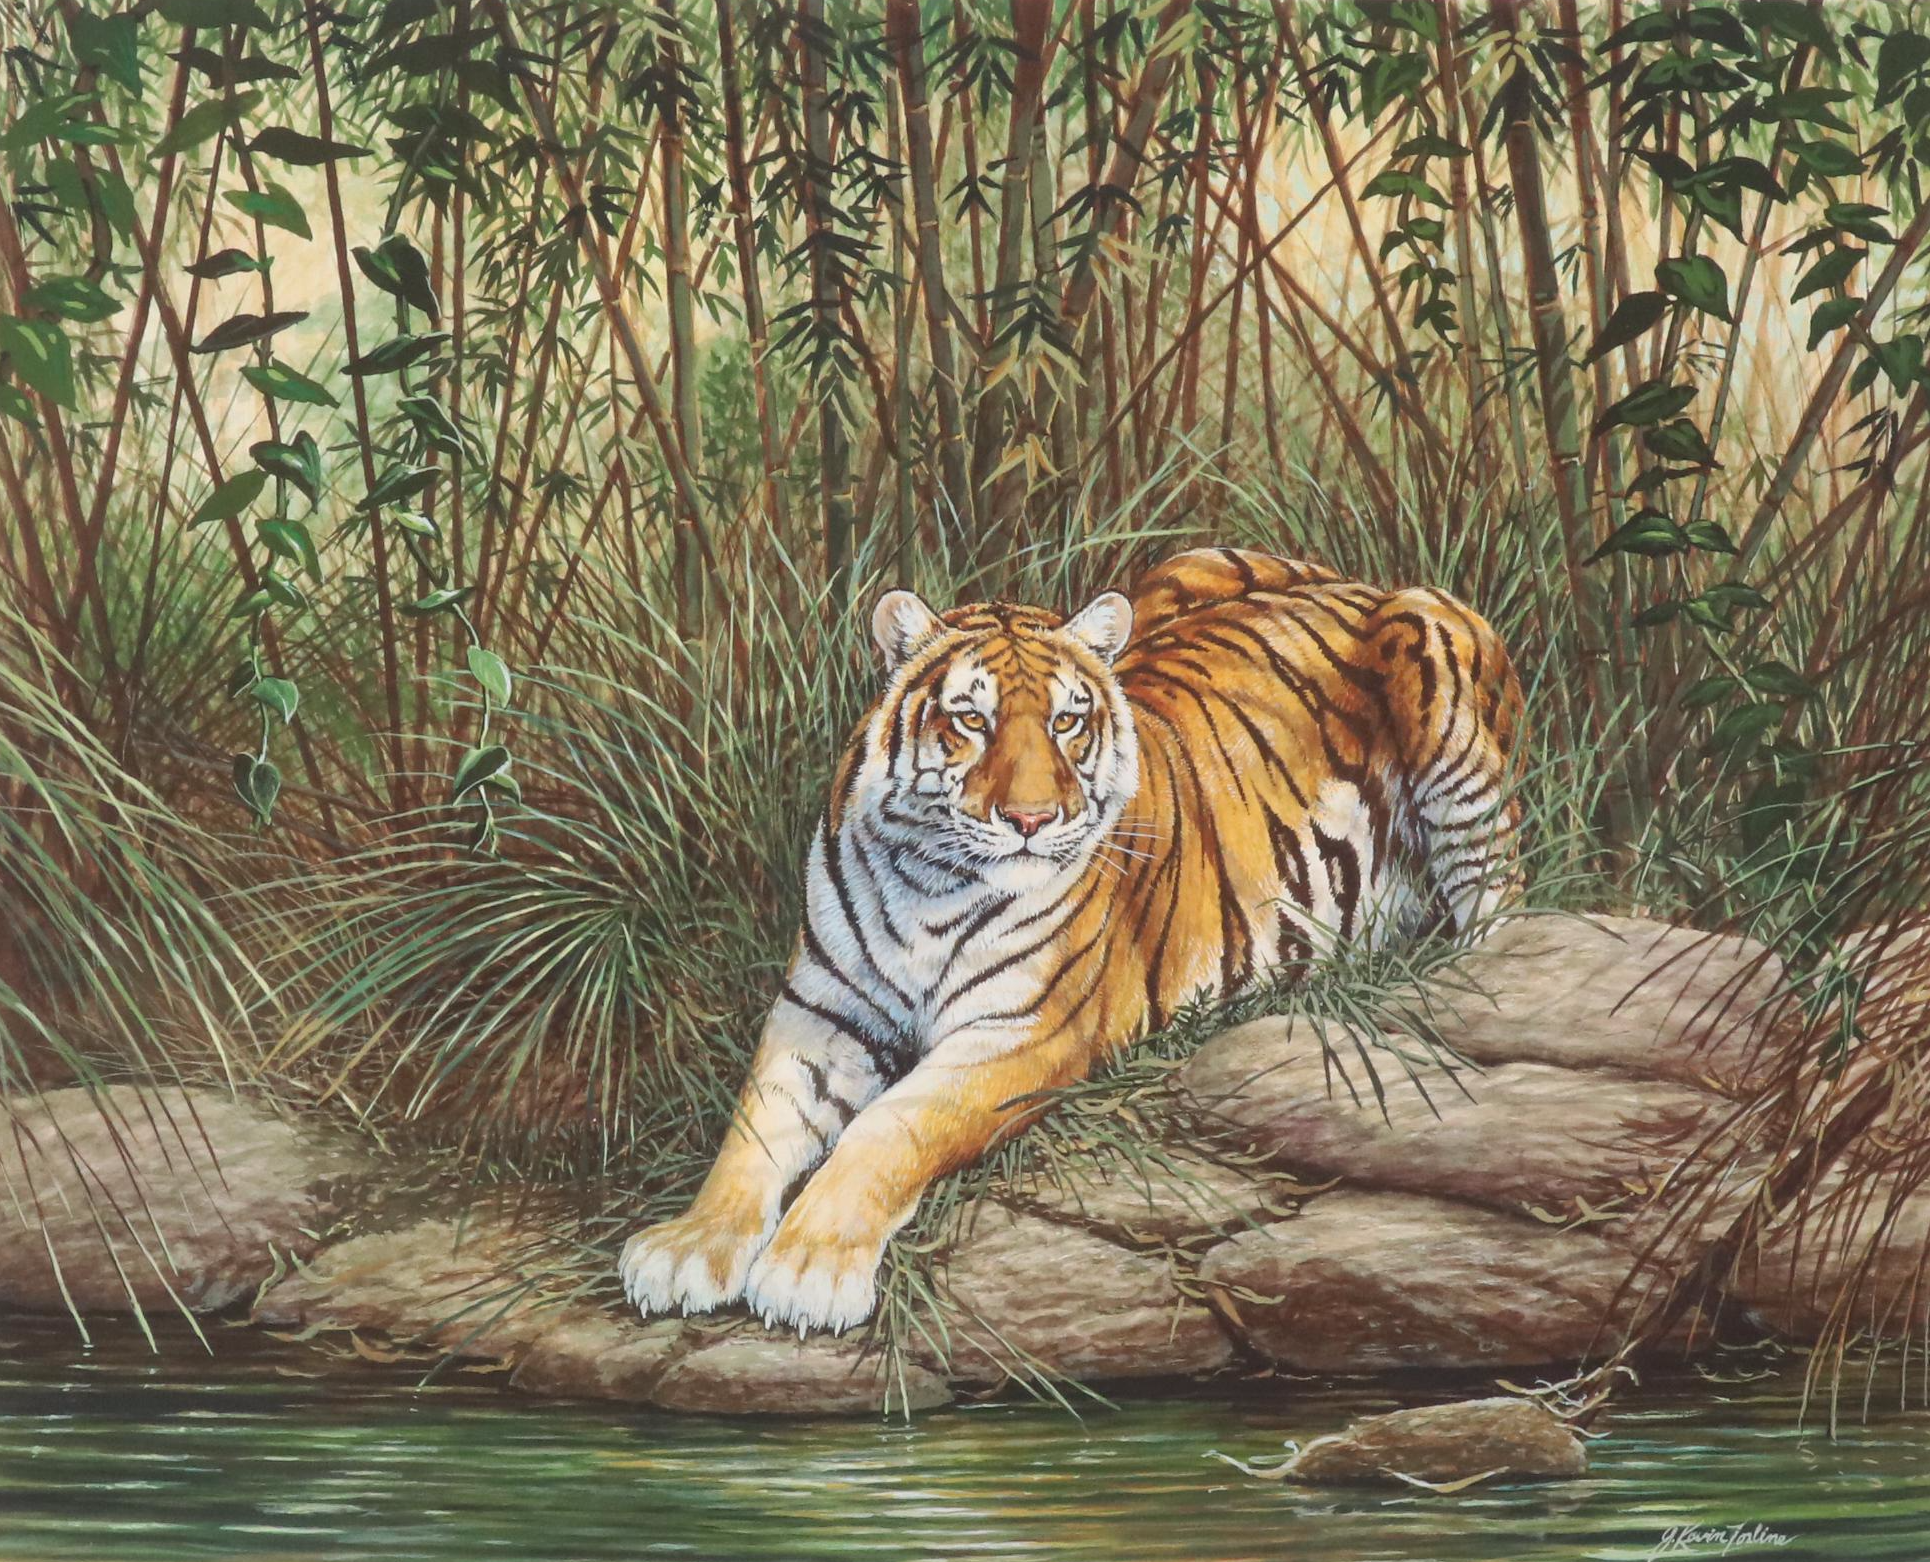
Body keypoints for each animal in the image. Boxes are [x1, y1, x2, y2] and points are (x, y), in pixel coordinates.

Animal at [620, 546, 1525, 1334]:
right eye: (971, 720)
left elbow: (889, 1130)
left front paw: (807, 1270)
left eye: (1066, 722)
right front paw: (688, 1249)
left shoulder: (1021, 1033)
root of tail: (1356, 580)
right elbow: (752, 1131)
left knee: (1499, 910)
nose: (1031, 820)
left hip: (1435, 665)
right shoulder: (821, 1015)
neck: (928, 877)